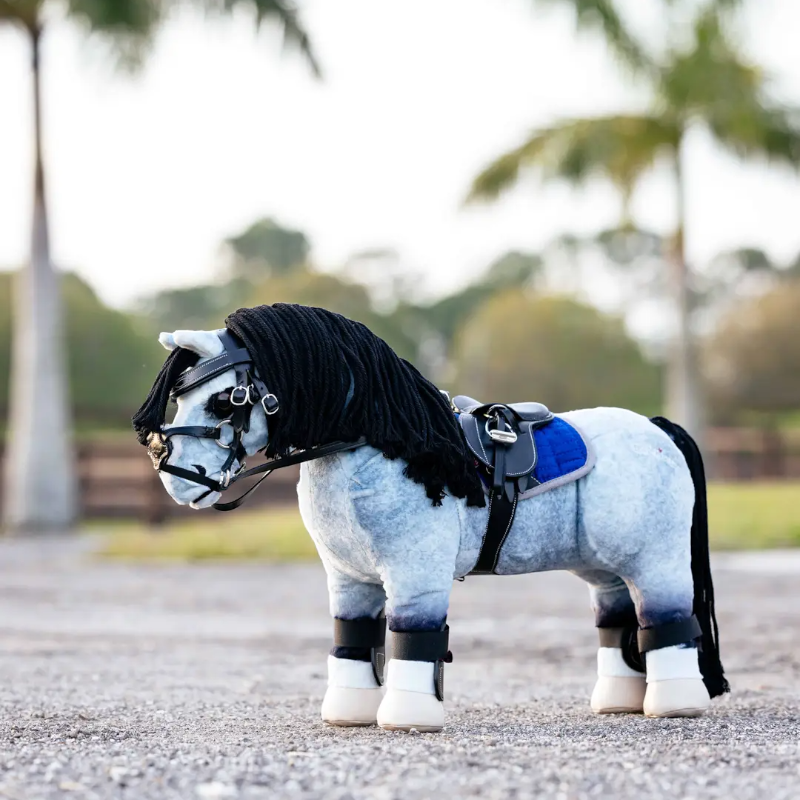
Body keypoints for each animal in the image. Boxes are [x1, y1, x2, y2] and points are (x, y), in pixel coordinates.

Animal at [133, 304, 727, 733]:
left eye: (224, 401)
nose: (175, 477)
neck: (381, 443)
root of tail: (656, 428)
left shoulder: (415, 574)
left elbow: (411, 638)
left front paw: (407, 718)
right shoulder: (348, 579)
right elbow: (353, 637)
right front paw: (350, 713)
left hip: (656, 559)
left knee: (667, 620)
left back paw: (674, 703)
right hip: (604, 567)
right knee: (618, 619)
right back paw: (618, 703)